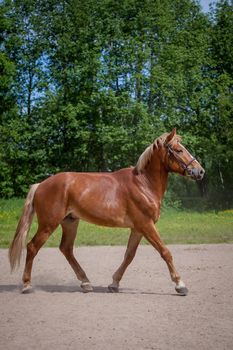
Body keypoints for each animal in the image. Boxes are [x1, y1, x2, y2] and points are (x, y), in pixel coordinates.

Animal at [9, 129, 204, 296]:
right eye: (179, 150)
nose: (200, 171)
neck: (143, 184)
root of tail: (40, 185)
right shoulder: (146, 225)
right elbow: (165, 252)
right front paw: (180, 285)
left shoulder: (137, 229)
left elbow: (129, 255)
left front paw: (114, 284)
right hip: (49, 224)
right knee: (32, 247)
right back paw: (27, 285)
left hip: (70, 222)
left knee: (66, 249)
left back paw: (86, 283)